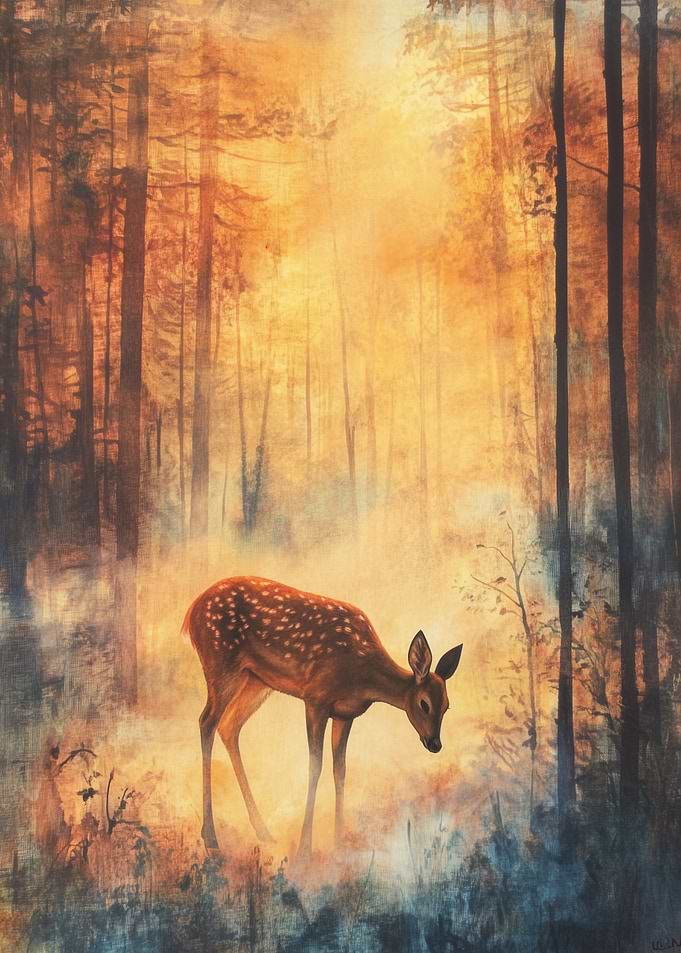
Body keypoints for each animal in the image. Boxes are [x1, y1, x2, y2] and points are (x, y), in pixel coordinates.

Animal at [183, 576, 463, 856]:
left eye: (447, 706)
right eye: (424, 704)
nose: (435, 744)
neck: (362, 675)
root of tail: (191, 612)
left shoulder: (345, 714)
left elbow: (340, 770)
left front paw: (339, 842)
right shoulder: (316, 698)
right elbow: (314, 766)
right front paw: (305, 847)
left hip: (256, 680)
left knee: (229, 725)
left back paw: (263, 831)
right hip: (221, 661)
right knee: (207, 721)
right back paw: (212, 839)